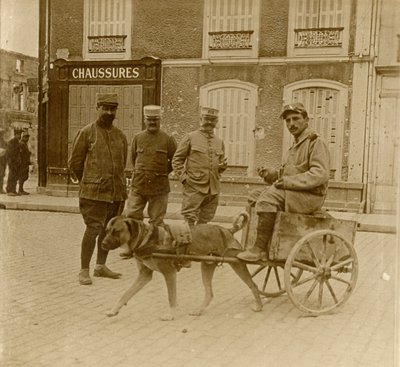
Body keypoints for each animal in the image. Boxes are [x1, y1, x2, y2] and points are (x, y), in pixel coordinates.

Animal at [103, 214, 264, 320]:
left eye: (116, 231)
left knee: (253, 285)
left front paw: (171, 314)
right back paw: (199, 310)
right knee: (209, 293)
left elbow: (171, 297)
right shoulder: (144, 275)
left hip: (237, 264)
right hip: (207, 266)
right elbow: (126, 293)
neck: (148, 239)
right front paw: (114, 310)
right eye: (106, 230)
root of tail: (227, 230)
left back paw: (259, 306)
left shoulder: (169, 273)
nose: (103, 244)